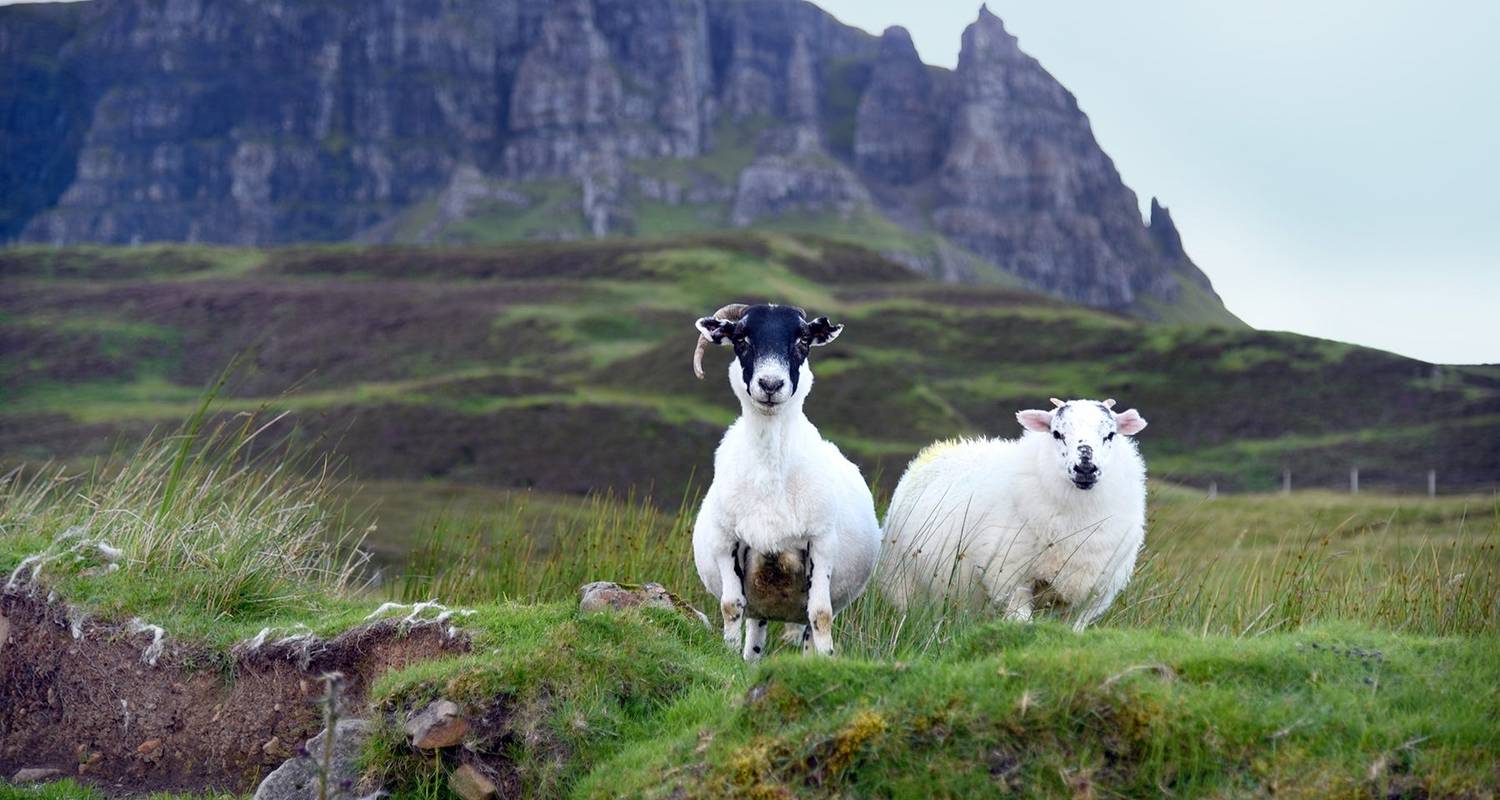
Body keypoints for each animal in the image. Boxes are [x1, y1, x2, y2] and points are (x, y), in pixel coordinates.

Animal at [687, 303, 882, 657]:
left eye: (803, 340)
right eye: (741, 338)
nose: (770, 384)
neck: (770, 476)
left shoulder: (821, 543)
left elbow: (821, 614)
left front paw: (827, 659)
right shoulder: (725, 542)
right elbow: (730, 606)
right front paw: (728, 656)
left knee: (807, 624)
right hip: (760, 599)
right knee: (754, 626)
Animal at [876, 396, 1146, 627]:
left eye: (1110, 434)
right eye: (1057, 433)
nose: (1085, 468)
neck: (1078, 520)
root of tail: (939, 448)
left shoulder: (1091, 597)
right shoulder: (1013, 581)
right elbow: (1020, 624)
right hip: (903, 582)